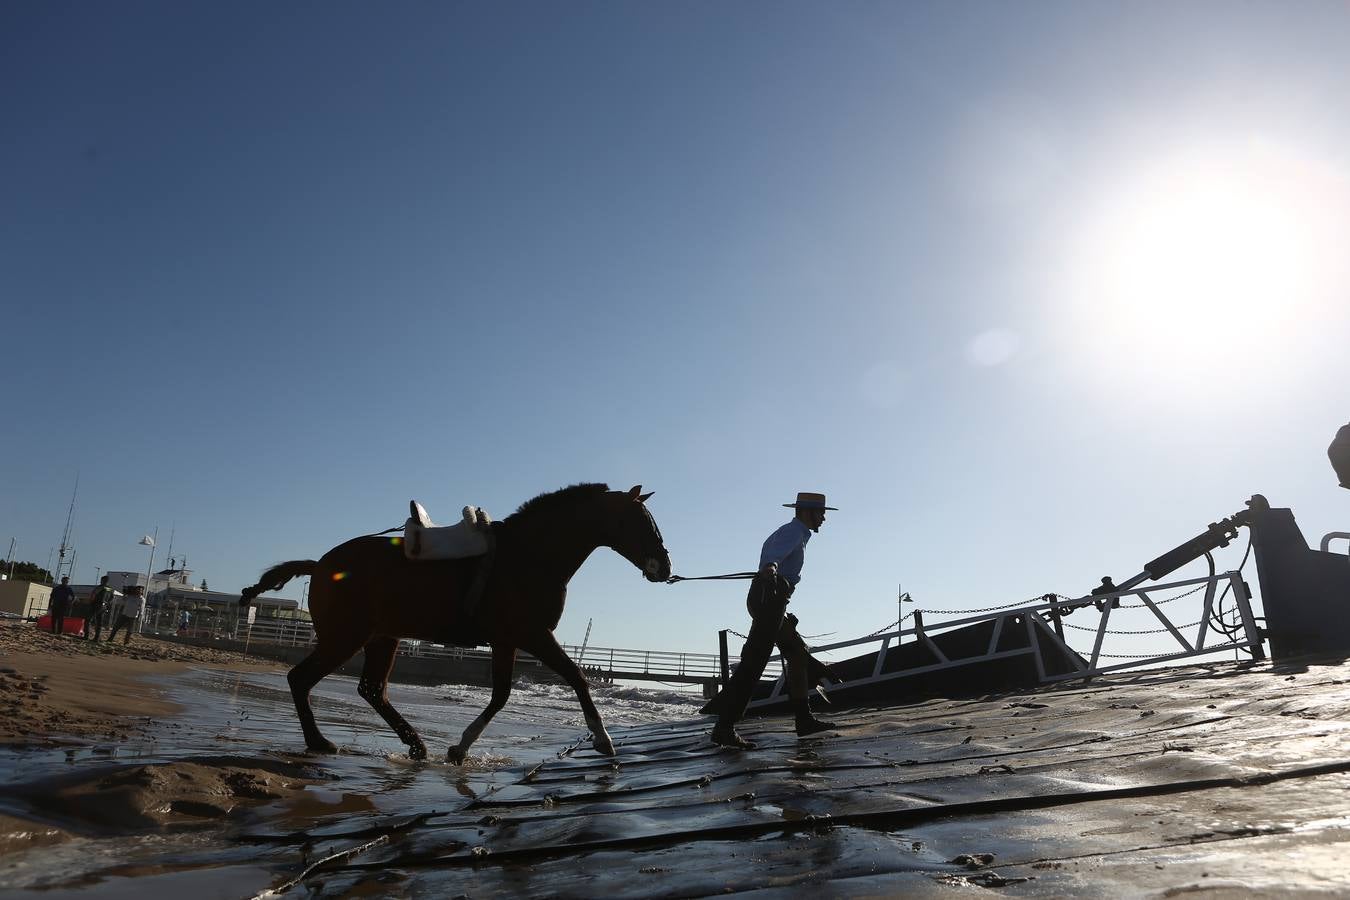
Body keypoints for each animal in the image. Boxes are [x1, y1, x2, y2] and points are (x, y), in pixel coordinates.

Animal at [241, 483, 669, 766]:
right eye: (640, 522)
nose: (665, 567)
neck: (530, 557)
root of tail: (320, 565)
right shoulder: (532, 636)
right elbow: (577, 679)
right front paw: (604, 739)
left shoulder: (508, 641)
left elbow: (501, 695)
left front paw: (459, 748)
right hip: (346, 637)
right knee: (301, 679)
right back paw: (319, 741)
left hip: (382, 637)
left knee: (372, 690)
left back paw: (415, 744)